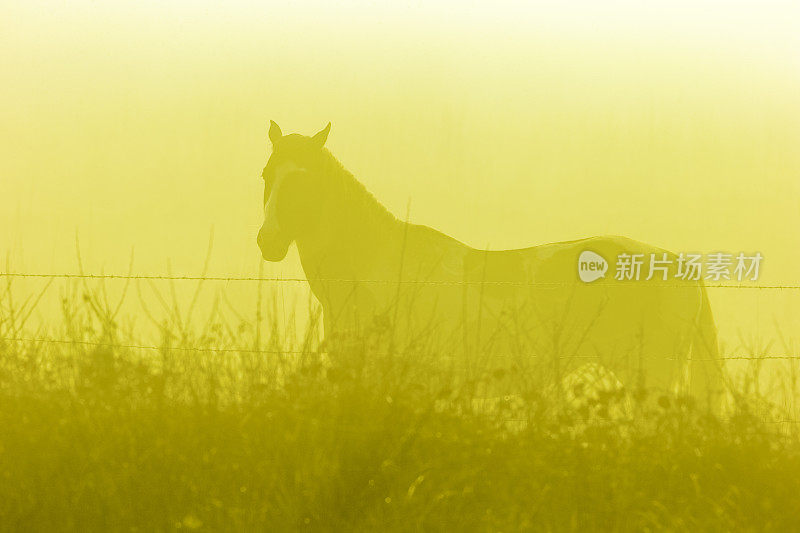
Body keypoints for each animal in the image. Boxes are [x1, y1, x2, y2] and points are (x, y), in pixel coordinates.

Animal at [256, 120, 724, 408]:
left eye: (303, 181)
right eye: (266, 175)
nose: (268, 241)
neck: (376, 272)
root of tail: (677, 266)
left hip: (653, 377)